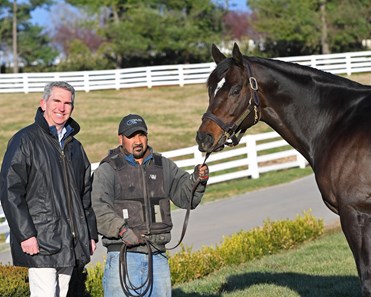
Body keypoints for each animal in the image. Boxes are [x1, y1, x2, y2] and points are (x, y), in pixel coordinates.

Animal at [198, 42, 371, 294]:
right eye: (211, 89)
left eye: (236, 90)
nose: (204, 138)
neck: (339, 124)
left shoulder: (356, 214)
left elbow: (365, 276)